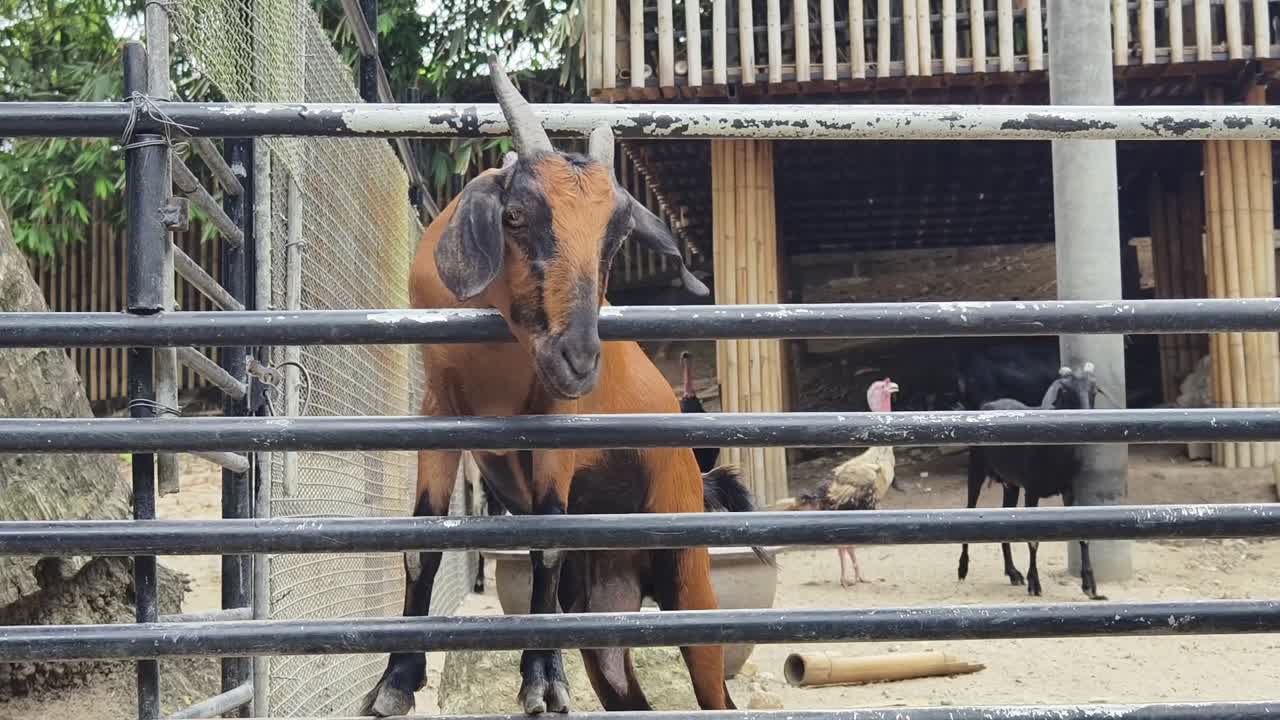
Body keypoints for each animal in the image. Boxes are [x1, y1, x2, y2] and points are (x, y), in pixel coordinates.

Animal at [362, 56, 743, 717]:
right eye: (516, 215)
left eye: (616, 238)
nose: (579, 360)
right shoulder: (440, 410)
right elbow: (421, 543)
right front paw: (397, 679)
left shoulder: (554, 431)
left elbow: (546, 541)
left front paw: (541, 679)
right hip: (603, 606)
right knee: (626, 689)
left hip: (685, 571)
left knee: (715, 688)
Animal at [956, 363, 1107, 601]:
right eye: (1067, 391)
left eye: (1094, 391)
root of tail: (989, 404)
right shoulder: (1032, 491)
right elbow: (1033, 539)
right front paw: (1034, 584)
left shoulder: (1069, 489)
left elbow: (1081, 534)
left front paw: (1090, 586)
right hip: (976, 469)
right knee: (969, 508)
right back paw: (963, 569)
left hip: (1010, 484)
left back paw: (1012, 573)